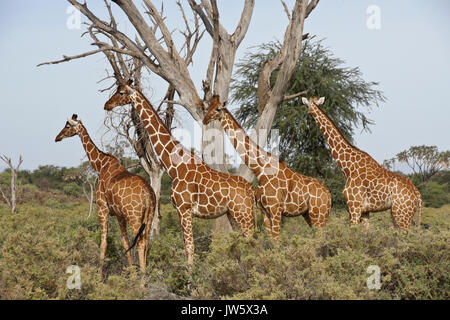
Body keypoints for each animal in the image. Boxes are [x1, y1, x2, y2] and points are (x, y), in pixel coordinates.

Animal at [55, 114, 156, 272]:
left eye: (67, 126)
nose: (57, 137)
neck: (100, 165)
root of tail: (147, 193)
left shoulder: (102, 208)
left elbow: (103, 243)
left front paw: (99, 273)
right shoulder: (120, 215)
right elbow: (125, 242)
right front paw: (131, 273)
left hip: (134, 216)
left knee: (140, 242)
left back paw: (143, 277)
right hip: (150, 216)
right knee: (146, 242)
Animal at [103, 80, 256, 264]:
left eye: (121, 92)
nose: (107, 105)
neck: (174, 167)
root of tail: (251, 190)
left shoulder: (185, 209)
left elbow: (190, 248)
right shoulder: (179, 211)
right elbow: (185, 247)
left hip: (243, 214)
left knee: (252, 242)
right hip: (233, 214)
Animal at [202, 96, 332, 239]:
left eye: (218, 109)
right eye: (208, 107)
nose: (205, 120)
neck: (259, 169)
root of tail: (329, 195)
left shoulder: (276, 210)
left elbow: (276, 240)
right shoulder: (264, 211)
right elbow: (271, 240)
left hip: (318, 214)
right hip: (309, 214)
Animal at [302, 95, 422, 230]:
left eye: (308, 104)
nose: (309, 112)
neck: (348, 167)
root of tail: (417, 194)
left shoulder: (354, 207)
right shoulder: (365, 211)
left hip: (402, 214)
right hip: (398, 213)